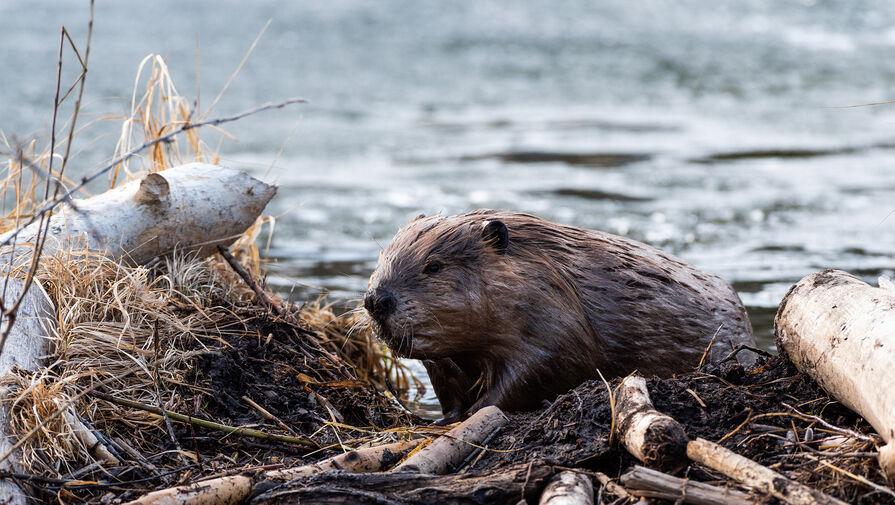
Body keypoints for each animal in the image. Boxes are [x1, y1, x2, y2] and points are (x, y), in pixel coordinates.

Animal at [360, 209, 752, 418]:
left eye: (434, 266)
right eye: (382, 257)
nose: (376, 300)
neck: (548, 272)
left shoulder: (555, 324)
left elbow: (538, 371)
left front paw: (474, 413)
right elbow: (446, 382)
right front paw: (444, 419)